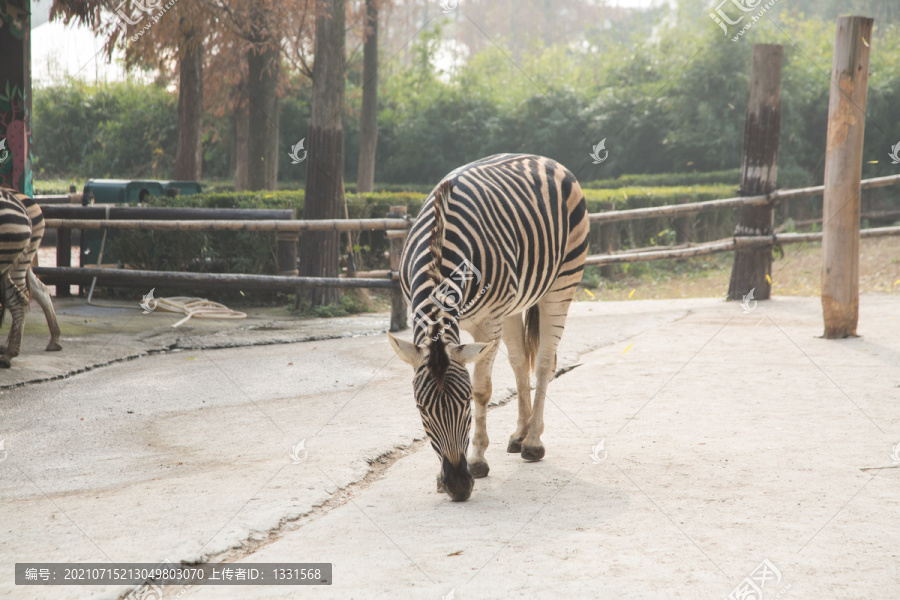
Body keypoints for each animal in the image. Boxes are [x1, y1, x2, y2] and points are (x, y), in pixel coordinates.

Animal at [388, 155, 592, 502]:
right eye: (421, 409)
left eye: (464, 405)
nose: (457, 486)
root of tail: (544, 159)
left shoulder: (488, 323)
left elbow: (483, 389)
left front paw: (478, 460)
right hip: (512, 306)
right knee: (520, 360)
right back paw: (520, 435)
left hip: (562, 283)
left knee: (544, 363)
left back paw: (533, 442)